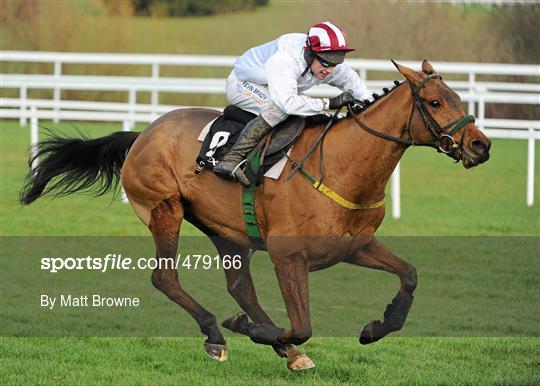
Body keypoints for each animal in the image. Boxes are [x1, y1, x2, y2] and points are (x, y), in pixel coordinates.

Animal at [20, 60, 490, 370]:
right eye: (435, 101)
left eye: (458, 97)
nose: (481, 145)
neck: (341, 166)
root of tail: (143, 134)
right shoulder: (288, 256)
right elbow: (302, 324)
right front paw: (252, 331)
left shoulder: (354, 246)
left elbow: (409, 274)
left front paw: (378, 325)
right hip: (164, 209)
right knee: (166, 278)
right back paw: (217, 333)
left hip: (226, 230)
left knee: (240, 286)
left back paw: (276, 347)